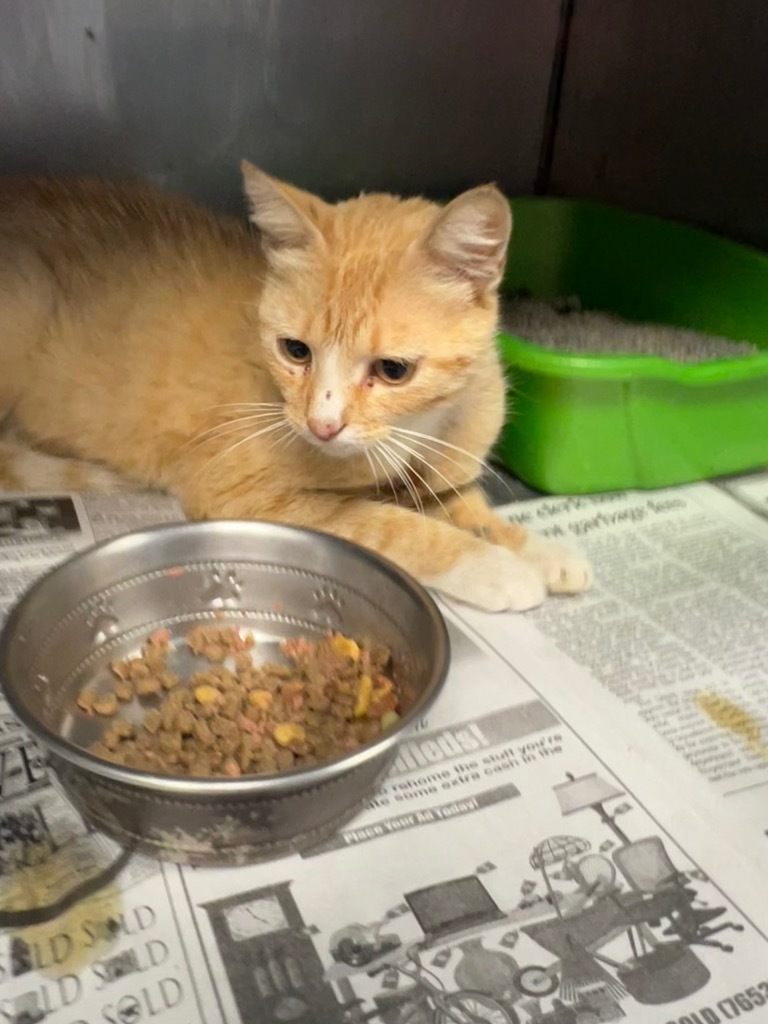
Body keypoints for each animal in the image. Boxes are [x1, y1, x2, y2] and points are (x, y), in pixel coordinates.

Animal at [0, 159, 593, 606]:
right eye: (295, 350)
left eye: (393, 370)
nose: (322, 425)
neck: (414, 435)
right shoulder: (240, 491)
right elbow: (384, 522)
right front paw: (491, 567)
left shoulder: (436, 472)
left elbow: (466, 507)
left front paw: (539, 550)